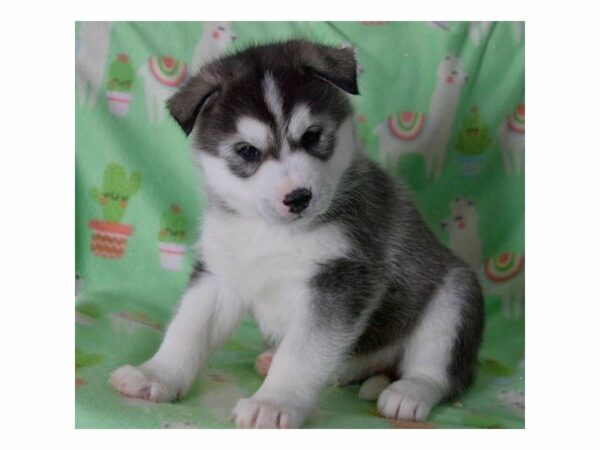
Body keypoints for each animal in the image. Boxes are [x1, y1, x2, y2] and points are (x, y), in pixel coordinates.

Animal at [109, 39, 482, 428]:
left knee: (439, 370)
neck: (272, 234)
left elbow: (302, 353)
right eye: (248, 151)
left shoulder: (339, 280)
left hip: (453, 298)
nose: (298, 197)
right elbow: (188, 329)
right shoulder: (220, 273)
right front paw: (156, 374)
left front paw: (274, 402)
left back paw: (409, 393)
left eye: (312, 136)